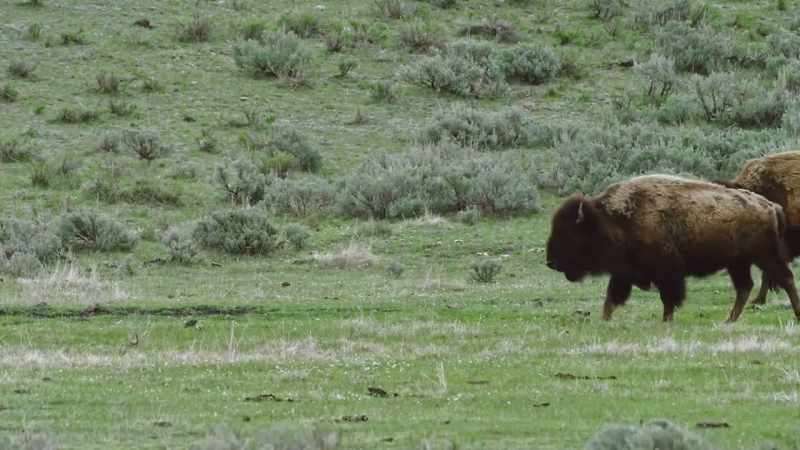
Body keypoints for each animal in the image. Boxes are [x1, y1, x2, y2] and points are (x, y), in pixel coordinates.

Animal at [546, 174, 800, 322]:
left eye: (569, 233)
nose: (551, 262)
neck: (611, 220)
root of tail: (771, 206)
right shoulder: (624, 272)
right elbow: (612, 297)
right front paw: (605, 319)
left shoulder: (666, 271)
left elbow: (668, 297)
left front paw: (666, 320)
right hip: (738, 262)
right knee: (745, 287)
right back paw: (729, 320)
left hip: (764, 256)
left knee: (785, 278)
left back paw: (796, 315)